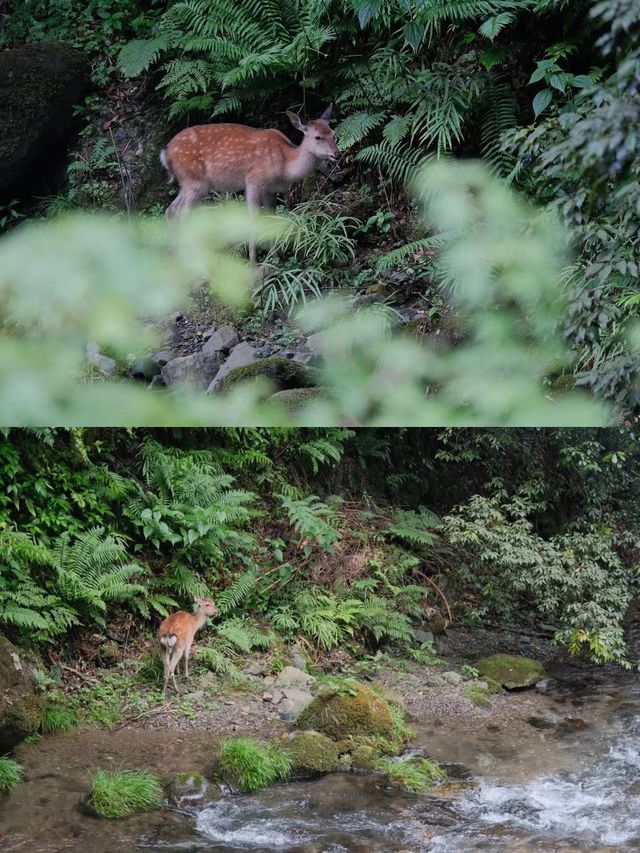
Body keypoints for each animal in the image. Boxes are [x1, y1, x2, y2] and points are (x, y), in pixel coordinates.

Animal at [160, 106, 340, 262]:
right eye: (318, 137)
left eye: (333, 133)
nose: (336, 154)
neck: (285, 166)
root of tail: (165, 154)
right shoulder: (254, 181)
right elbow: (253, 219)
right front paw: (254, 261)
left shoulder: (271, 190)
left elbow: (271, 219)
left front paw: (274, 257)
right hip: (196, 182)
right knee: (182, 213)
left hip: (187, 183)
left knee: (171, 210)